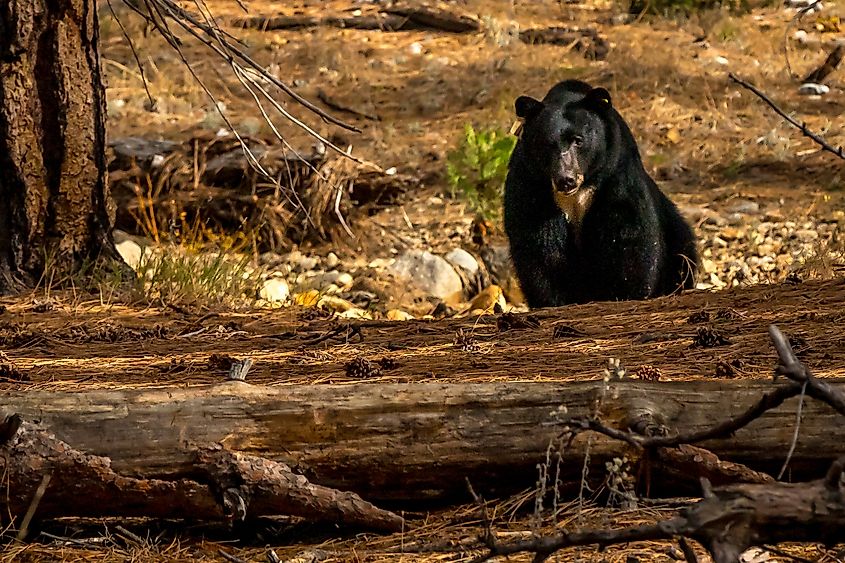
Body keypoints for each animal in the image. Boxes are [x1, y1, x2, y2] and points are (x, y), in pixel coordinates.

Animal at [503, 79, 698, 308]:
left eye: (578, 140)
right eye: (546, 144)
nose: (565, 179)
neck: (579, 192)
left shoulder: (616, 173)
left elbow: (629, 233)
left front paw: (625, 293)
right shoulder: (531, 183)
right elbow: (539, 243)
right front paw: (555, 300)